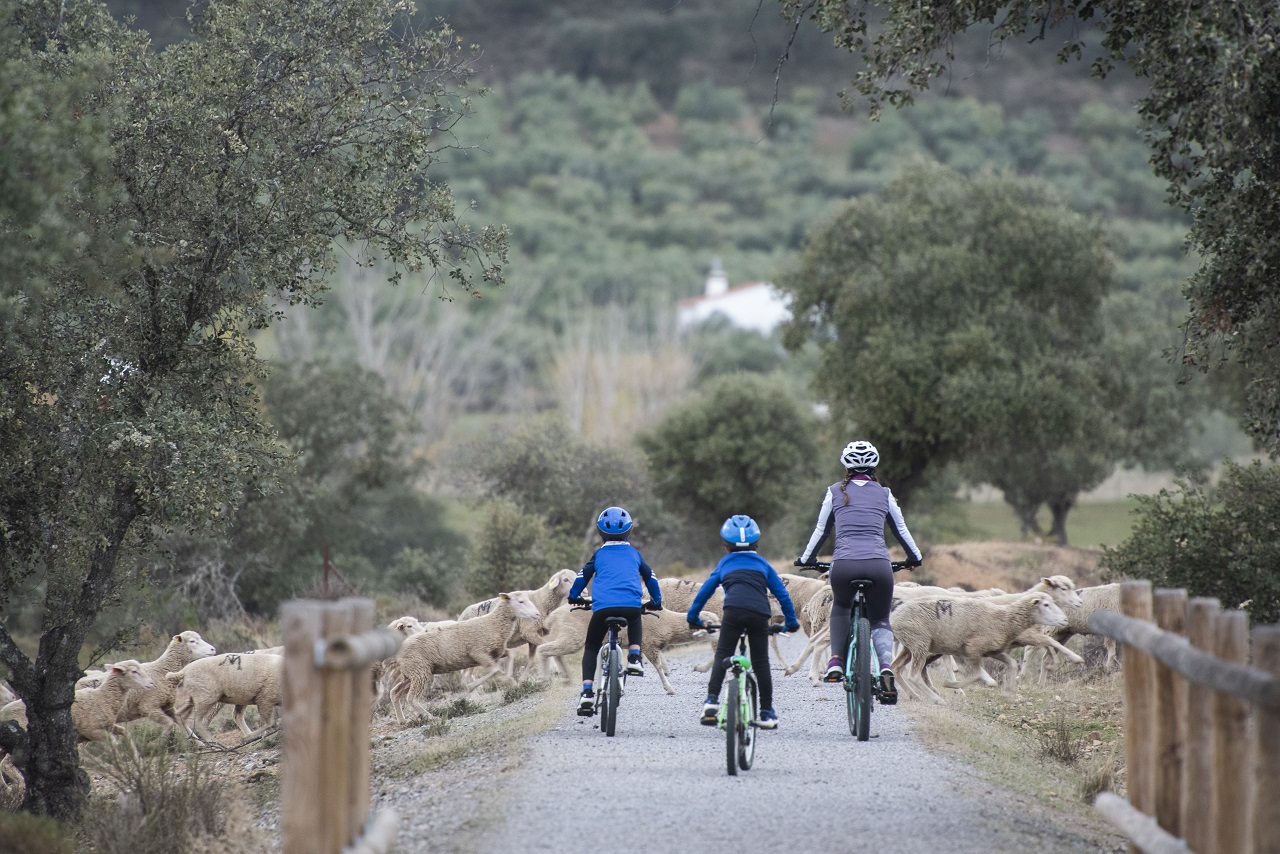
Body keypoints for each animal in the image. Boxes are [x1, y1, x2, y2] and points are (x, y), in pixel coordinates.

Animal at [386, 591, 542, 727]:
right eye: (520, 601)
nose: (537, 614)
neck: (492, 623)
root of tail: (398, 650)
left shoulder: (495, 652)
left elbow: (510, 655)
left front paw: (510, 679)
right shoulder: (478, 653)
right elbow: (494, 670)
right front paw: (475, 686)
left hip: (412, 674)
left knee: (394, 692)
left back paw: (402, 720)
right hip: (419, 673)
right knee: (411, 699)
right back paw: (432, 718)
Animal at [890, 591, 1070, 706]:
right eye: (1046, 604)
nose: (1065, 620)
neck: (1004, 619)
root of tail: (895, 616)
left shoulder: (993, 650)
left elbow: (1012, 664)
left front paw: (1008, 693)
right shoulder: (972, 649)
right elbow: (980, 676)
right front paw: (952, 685)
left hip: (911, 646)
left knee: (896, 668)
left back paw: (914, 695)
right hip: (919, 643)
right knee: (913, 676)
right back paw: (936, 699)